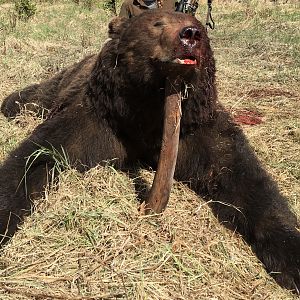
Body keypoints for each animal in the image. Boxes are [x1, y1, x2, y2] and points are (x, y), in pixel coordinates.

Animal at [0, 9, 298, 296]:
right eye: (157, 23)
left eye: (200, 26)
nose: (190, 35)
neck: (149, 111)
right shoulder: (99, 120)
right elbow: (36, 158)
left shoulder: (197, 129)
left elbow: (245, 181)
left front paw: (291, 259)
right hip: (59, 85)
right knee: (33, 96)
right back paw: (9, 103)